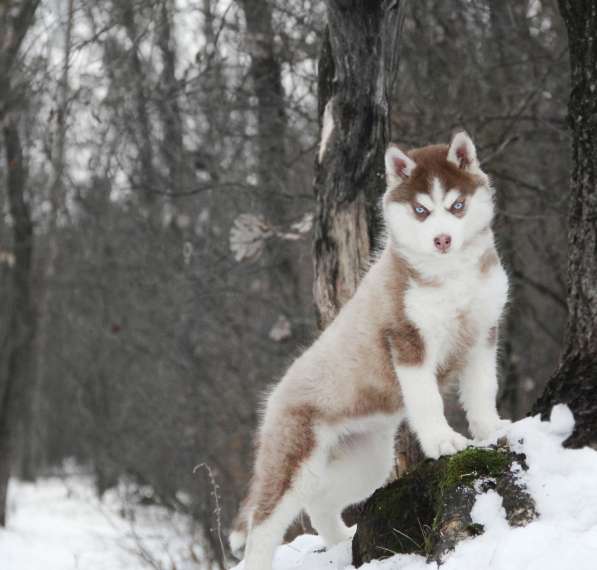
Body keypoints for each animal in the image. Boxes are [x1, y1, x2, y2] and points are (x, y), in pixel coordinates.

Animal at [230, 132, 510, 568]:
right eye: (420, 210)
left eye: (457, 205)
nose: (442, 239)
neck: (451, 275)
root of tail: (274, 395)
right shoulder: (408, 339)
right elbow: (427, 400)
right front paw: (443, 441)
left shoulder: (483, 332)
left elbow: (483, 389)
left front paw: (490, 429)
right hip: (296, 458)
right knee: (264, 523)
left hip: (367, 461)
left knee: (320, 502)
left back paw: (341, 540)